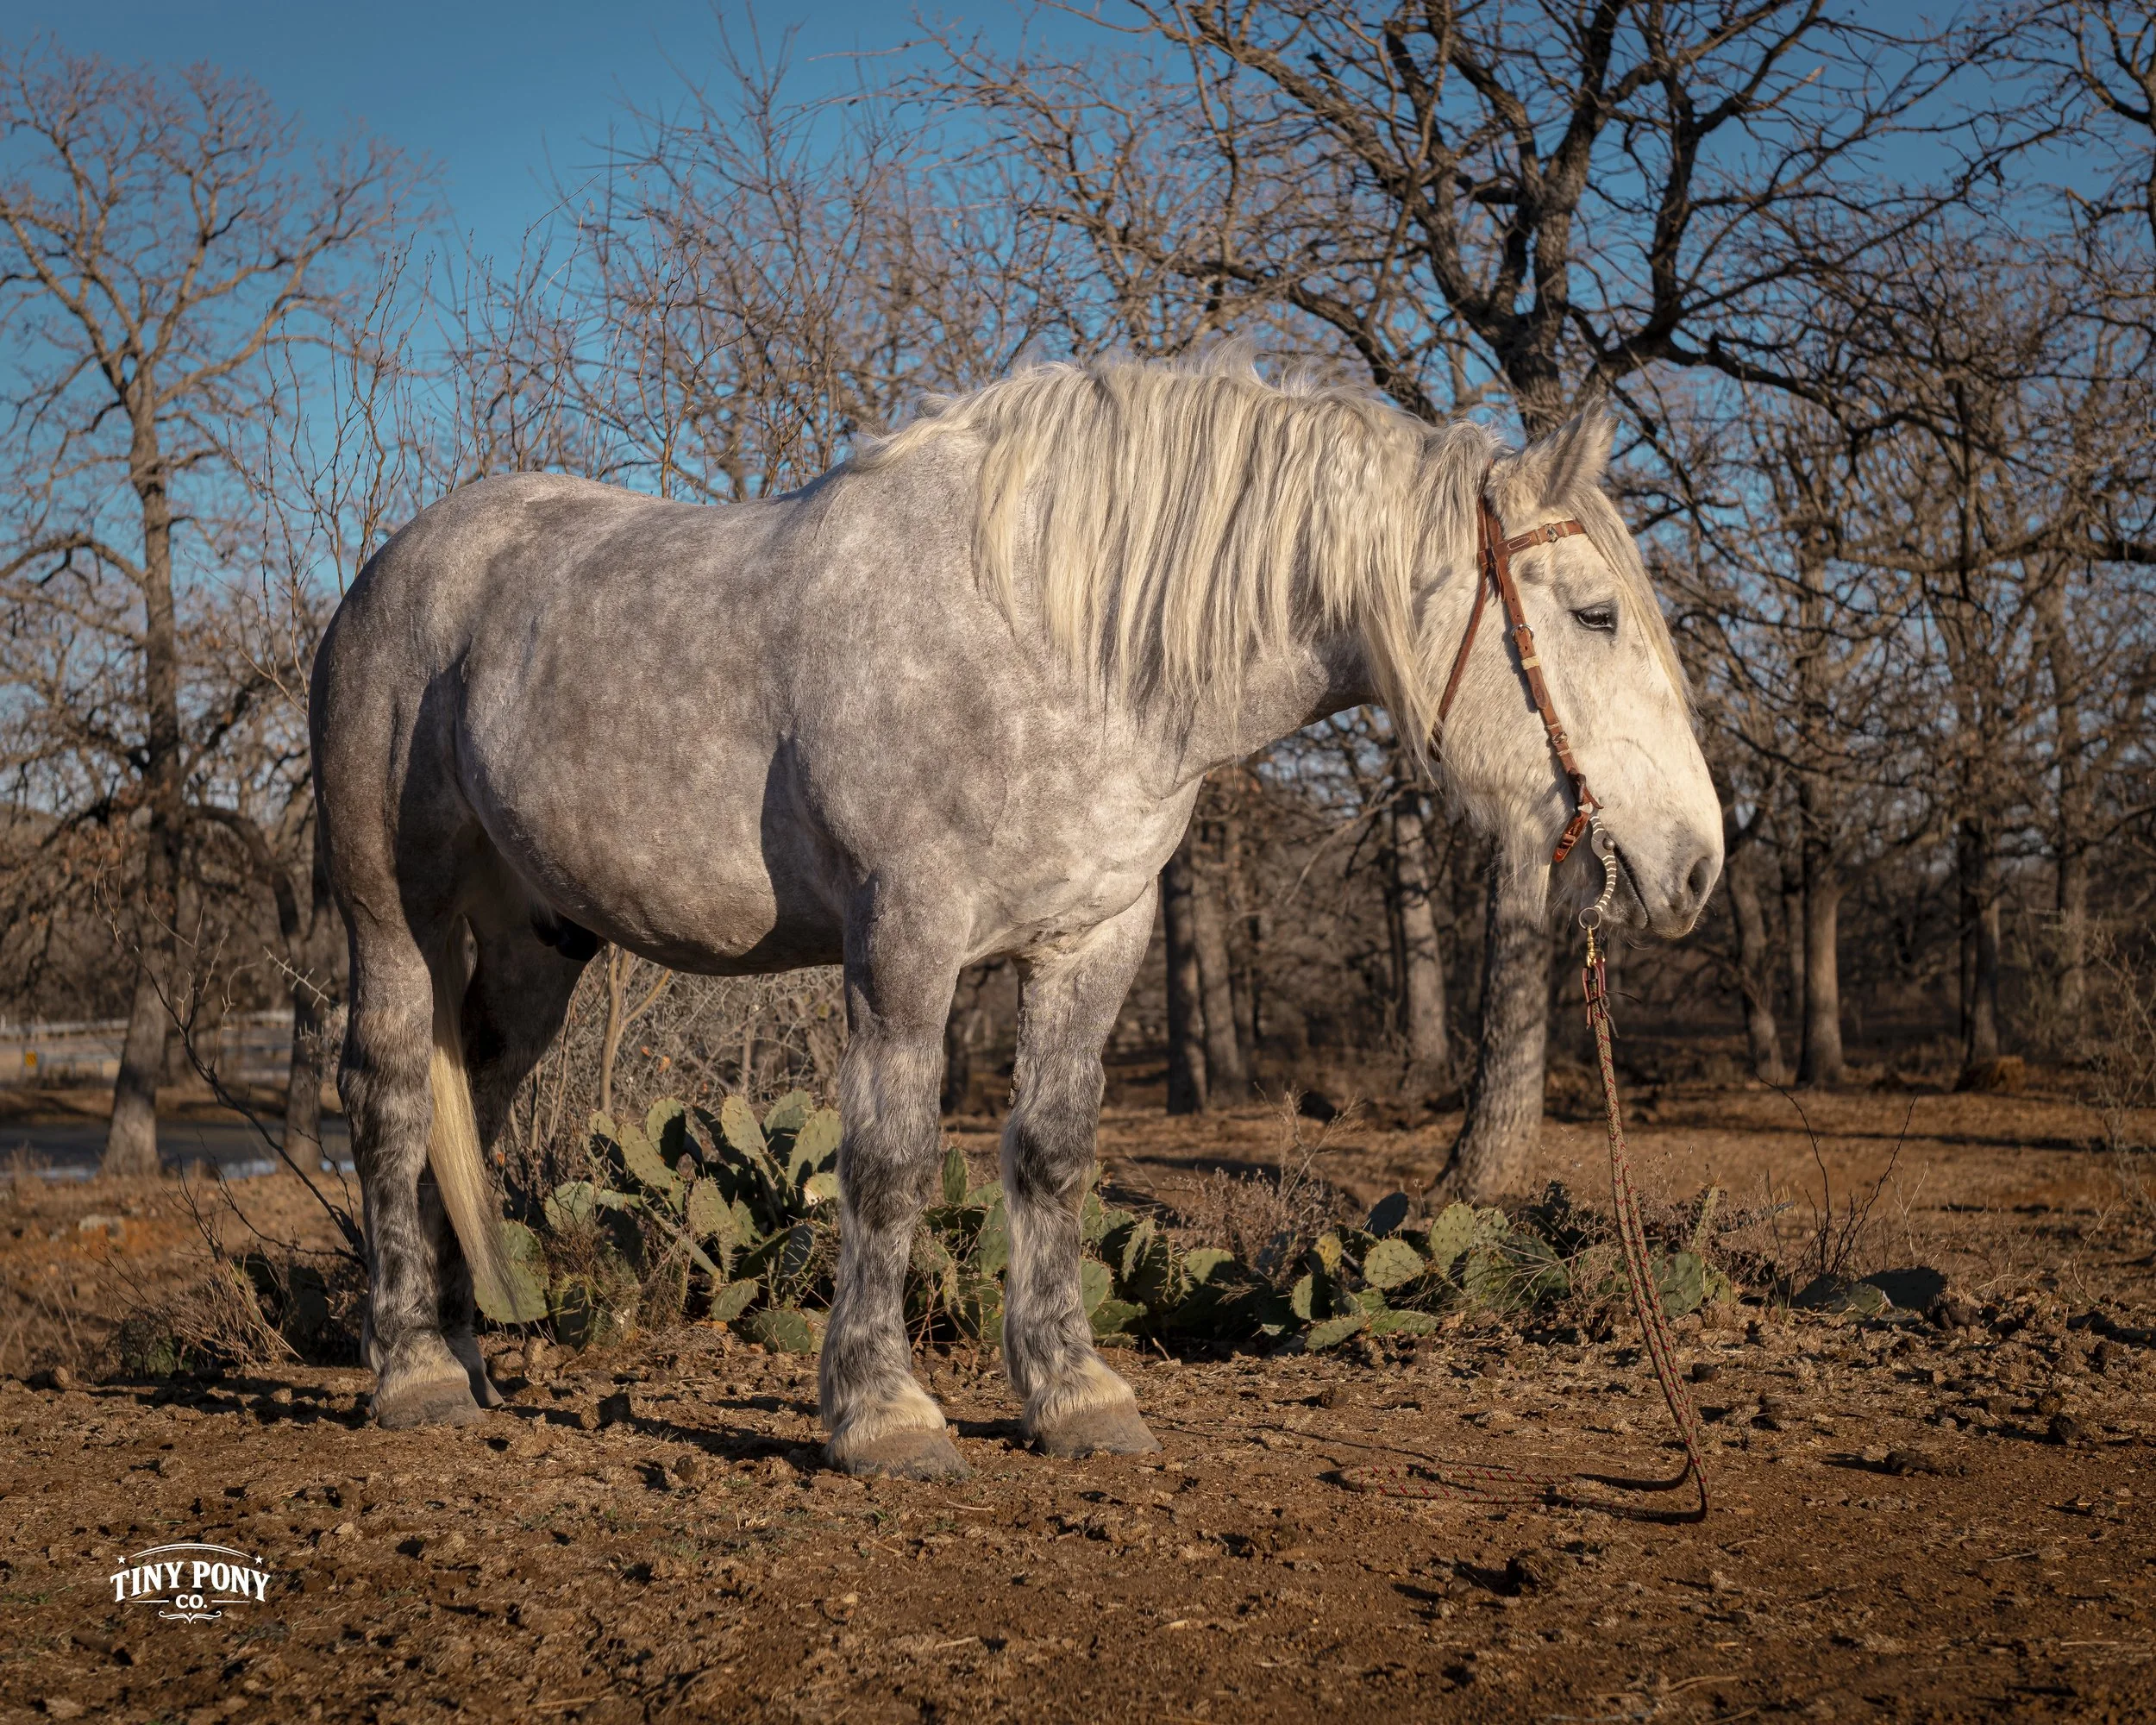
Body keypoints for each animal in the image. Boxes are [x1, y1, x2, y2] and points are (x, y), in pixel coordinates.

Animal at [310, 353, 1722, 1479]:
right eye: (1596, 614)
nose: (1698, 864)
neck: (1063, 641)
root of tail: (398, 566)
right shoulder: (906, 938)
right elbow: (887, 1164)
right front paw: (881, 1414)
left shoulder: (1095, 939)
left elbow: (1051, 1155)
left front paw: (1071, 1395)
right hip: (391, 913)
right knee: (389, 1097)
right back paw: (412, 1372)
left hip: (537, 940)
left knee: (477, 1099)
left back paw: (463, 1355)